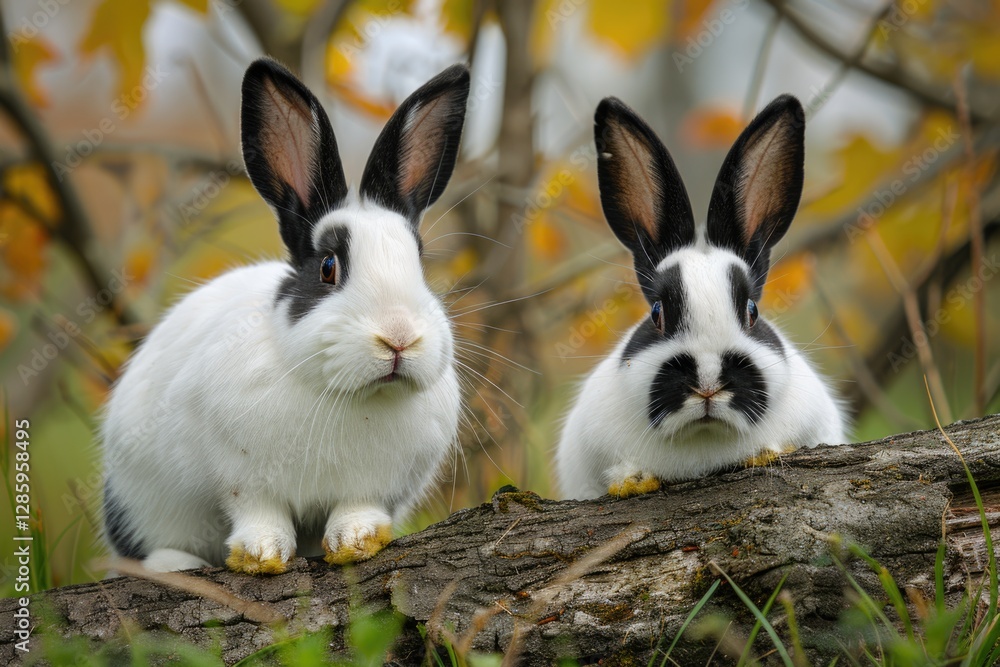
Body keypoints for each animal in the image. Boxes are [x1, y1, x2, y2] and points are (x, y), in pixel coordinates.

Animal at [100, 58, 470, 573]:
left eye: (419, 261)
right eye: (328, 267)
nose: (398, 338)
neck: (351, 398)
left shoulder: (373, 487)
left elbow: (356, 509)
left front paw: (355, 542)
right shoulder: (242, 478)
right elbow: (259, 513)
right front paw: (261, 556)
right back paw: (174, 565)